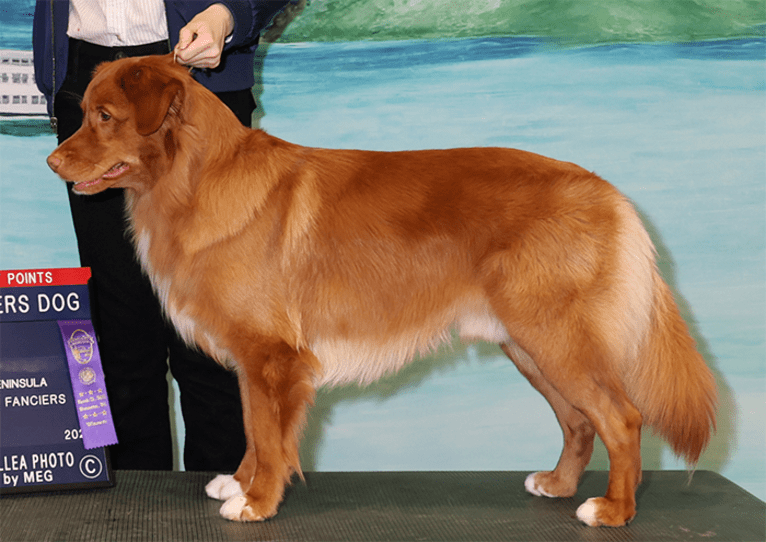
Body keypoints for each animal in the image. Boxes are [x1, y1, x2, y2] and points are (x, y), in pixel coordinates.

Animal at [48, 54, 720, 528]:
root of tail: (608, 192)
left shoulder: (272, 355)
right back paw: (556, 486)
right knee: (580, 422)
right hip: (530, 345)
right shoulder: (251, 357)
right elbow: (253, 427)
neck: (194, 178)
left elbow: (269, 432)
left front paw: (257, 501)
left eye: (104, 116)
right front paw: (239, 482)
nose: (52, 163)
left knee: (622, 418)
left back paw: (613, 510)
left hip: (557, 337)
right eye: (85, 112)